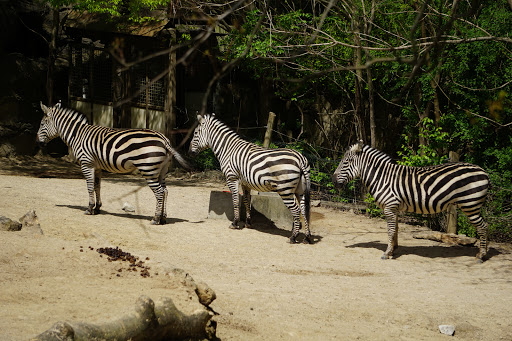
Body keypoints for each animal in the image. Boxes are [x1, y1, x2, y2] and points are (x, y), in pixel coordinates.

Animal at [36, 102, 189, 224]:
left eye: (42, 124)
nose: (37, 142)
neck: (77, 135)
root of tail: (164, 139)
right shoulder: (97, 166)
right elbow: (97, 186)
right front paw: (97, 208)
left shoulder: (86, 164)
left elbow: (89, 187)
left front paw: (89, 208)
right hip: (162, 170)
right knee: (165, 191)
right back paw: (163, 218)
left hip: (148, 170)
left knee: (159, 192)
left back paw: (156, 219)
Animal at [189, 113, 312, 243]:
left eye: (195, 133)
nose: (189, 152)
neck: (227, 149)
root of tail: (300, 158)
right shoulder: (245, 182)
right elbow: (246, 200)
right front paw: (248, 223)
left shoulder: (232, 178)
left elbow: (235, 200)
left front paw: (235, 223)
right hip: (300, 189)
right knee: (304, 210)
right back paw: (307, 237)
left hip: (285, 189)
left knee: (296, 210)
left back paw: (293, 237)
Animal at [330, 140, 490, 260]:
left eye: (346, 162)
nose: (333, 181)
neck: (382, 177)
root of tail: (484, 171)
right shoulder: (394, 207)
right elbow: (395, 229)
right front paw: (393, 250)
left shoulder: (389, 207)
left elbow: (390, 230)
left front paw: (387, 253)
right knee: (484, 226)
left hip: (470, 204)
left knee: (483, 227)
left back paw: (481, 255)